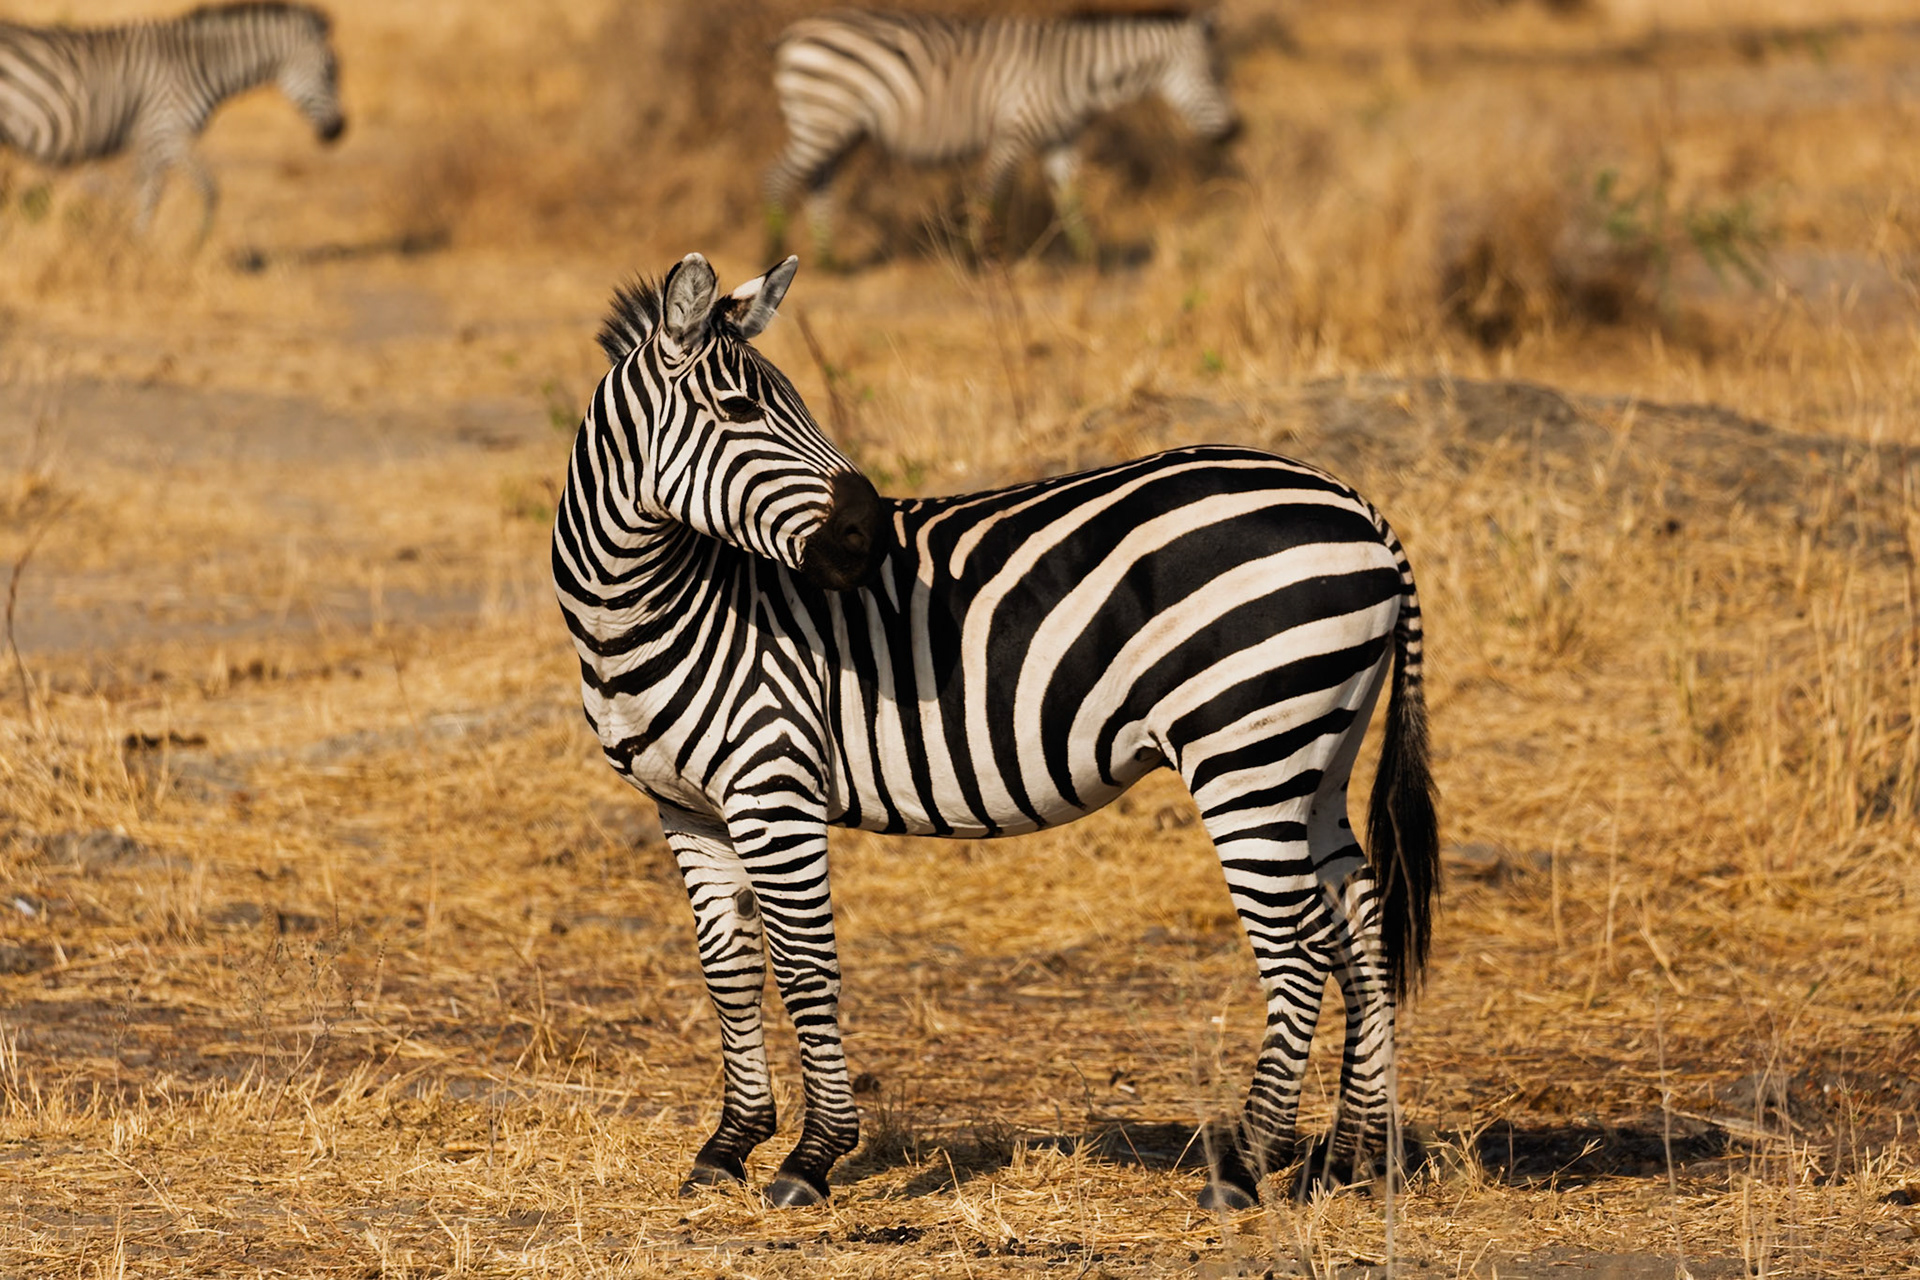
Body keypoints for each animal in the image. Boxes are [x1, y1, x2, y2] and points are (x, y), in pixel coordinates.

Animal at [0, 2, 344, 234]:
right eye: (330, 71)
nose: (340, 131)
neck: (198, 65)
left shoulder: (156, 139)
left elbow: (154, 192)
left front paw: (135, 243)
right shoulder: (166, 130)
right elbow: (199, 189)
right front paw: (188, 243)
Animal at [552, 253, 1439, 1210]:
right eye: (741, 409)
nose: (869, 539)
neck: (645, 605)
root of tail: (1357, 505)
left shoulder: (773, 781)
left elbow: (804, 965)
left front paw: (811, 1157)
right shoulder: (686, 806)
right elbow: (730, 971)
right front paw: (728, 1144)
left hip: (1244, 749)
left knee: (1300, 946)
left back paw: (1245, 1167)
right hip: (1314, 753)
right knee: (1360, 919)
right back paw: (1355, 1158)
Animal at [763, 9, 1240, 261]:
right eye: (1214, 73)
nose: (1236, 132)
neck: (1075, 74)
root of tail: (794, 32)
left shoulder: (1061, 139)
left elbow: (1072, 198)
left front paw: (1089, 257)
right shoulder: (1013, 133)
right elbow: (989, 194)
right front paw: (975, 260)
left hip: (839, 131)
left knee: (819, 183)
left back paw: (825, 259)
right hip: (822, 119)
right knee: (777, 178)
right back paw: (772, 252)